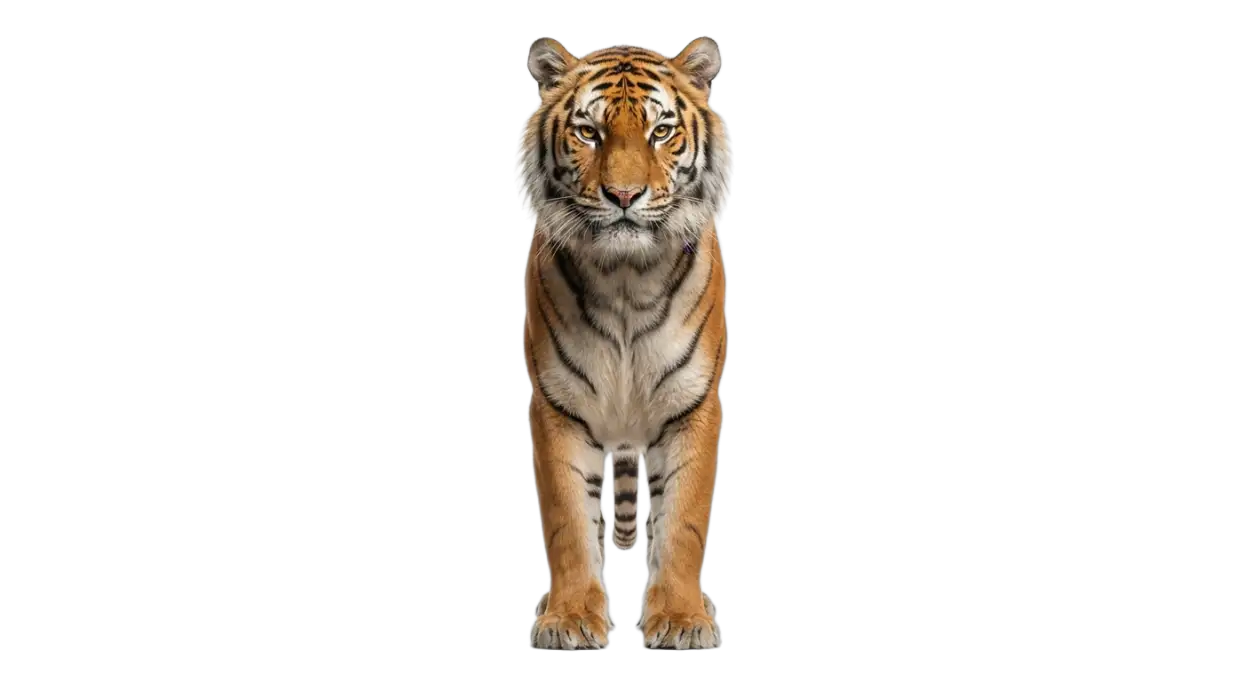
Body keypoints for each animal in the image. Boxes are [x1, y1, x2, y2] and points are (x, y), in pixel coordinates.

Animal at [517, 37, 732, 650]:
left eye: (661, 131)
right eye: (589, 132)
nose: (624, 194)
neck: (625, 280)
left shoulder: (692, 405)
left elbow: (682, 521)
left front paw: (682, 619)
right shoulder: (557, 407)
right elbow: (568, 523)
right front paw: (568, 618)